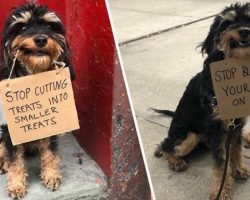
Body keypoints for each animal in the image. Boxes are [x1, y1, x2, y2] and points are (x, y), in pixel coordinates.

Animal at [0, 2, 74, 198]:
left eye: (49, 26)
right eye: (23, 28)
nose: (41, 39)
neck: (34, 74)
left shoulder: (51, 125)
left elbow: (50, 153)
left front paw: (51, 176)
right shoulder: (11, 130)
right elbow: (14, 160)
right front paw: (16, 185)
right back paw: (2, 163)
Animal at [154, 3, 250, 200]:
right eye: (228, 22)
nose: (245, 31)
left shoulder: (236, 125)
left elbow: (236, 150)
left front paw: (238, 169)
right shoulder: (216, 129)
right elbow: (221, 164)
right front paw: (221, 192)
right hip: (188, 137)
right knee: (166, 146)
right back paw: (175, 161)